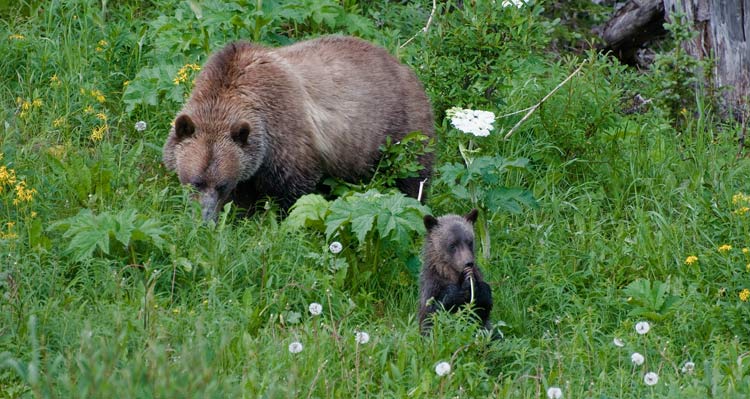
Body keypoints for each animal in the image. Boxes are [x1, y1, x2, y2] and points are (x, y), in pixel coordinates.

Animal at [163, 35, 434, 222]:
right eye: (195, 182)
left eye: (222, 185)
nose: (206, 217)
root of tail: (405, 66)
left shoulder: (285, 134)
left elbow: (294, 190)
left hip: (400, 127)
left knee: (412, 175)